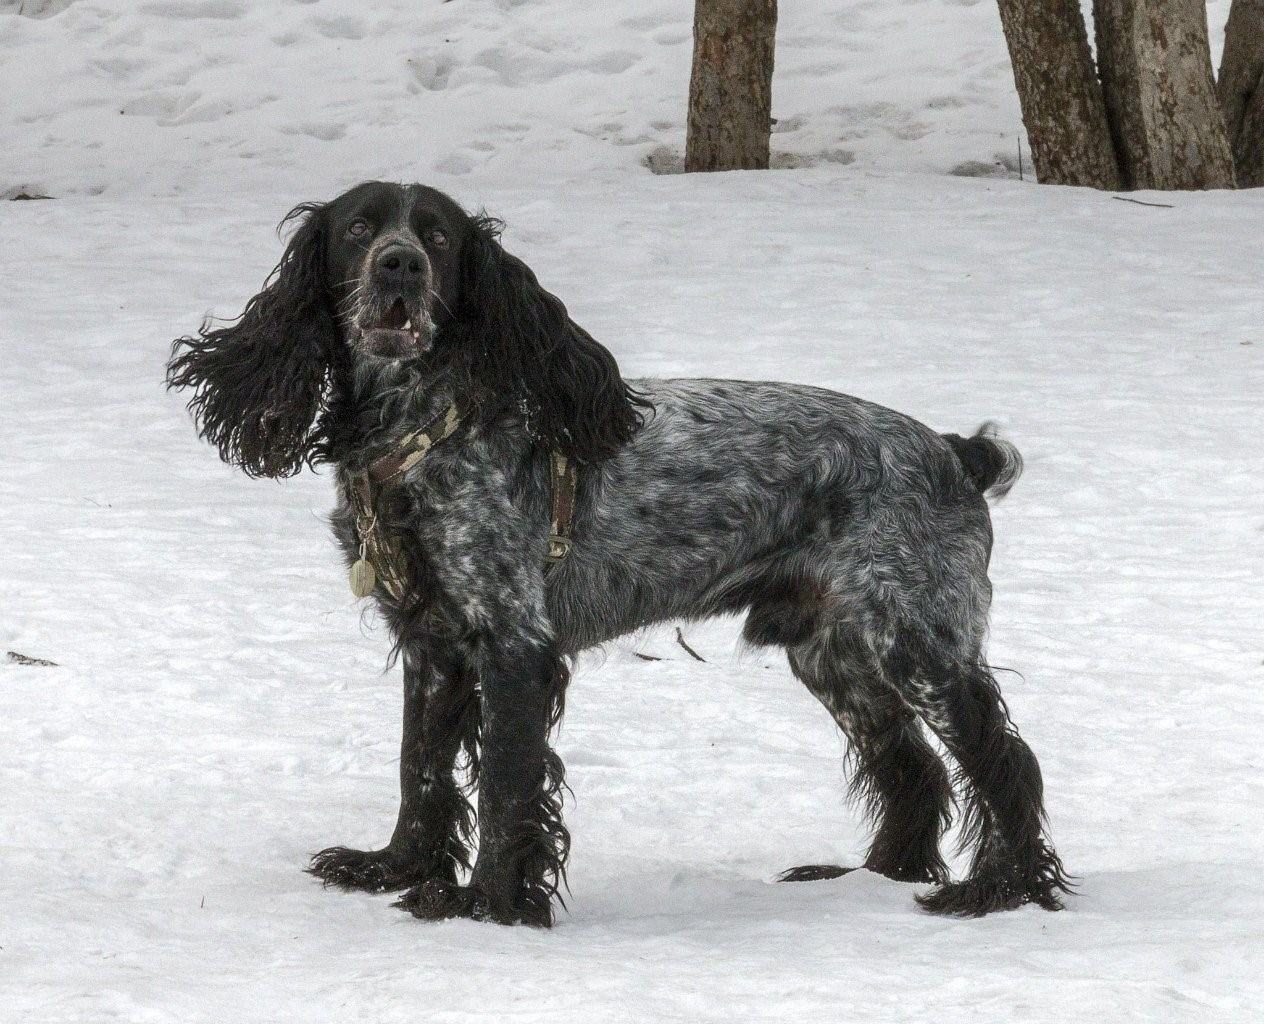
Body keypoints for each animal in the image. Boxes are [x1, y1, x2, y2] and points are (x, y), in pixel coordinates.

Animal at [168, 179, 1071, 920]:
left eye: (441, 237)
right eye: (360, 227)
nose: (400, 266)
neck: (417, 431)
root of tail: (954, 451)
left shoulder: (515, 643)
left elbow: (505, 784)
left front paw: (486, 904)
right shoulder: (432, 642)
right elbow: (418, 768)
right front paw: (395, 868)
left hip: (916, 641)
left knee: (1004, 762)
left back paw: (1000, 891)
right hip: (835, 651)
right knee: (913, 769)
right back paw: (872, 880)